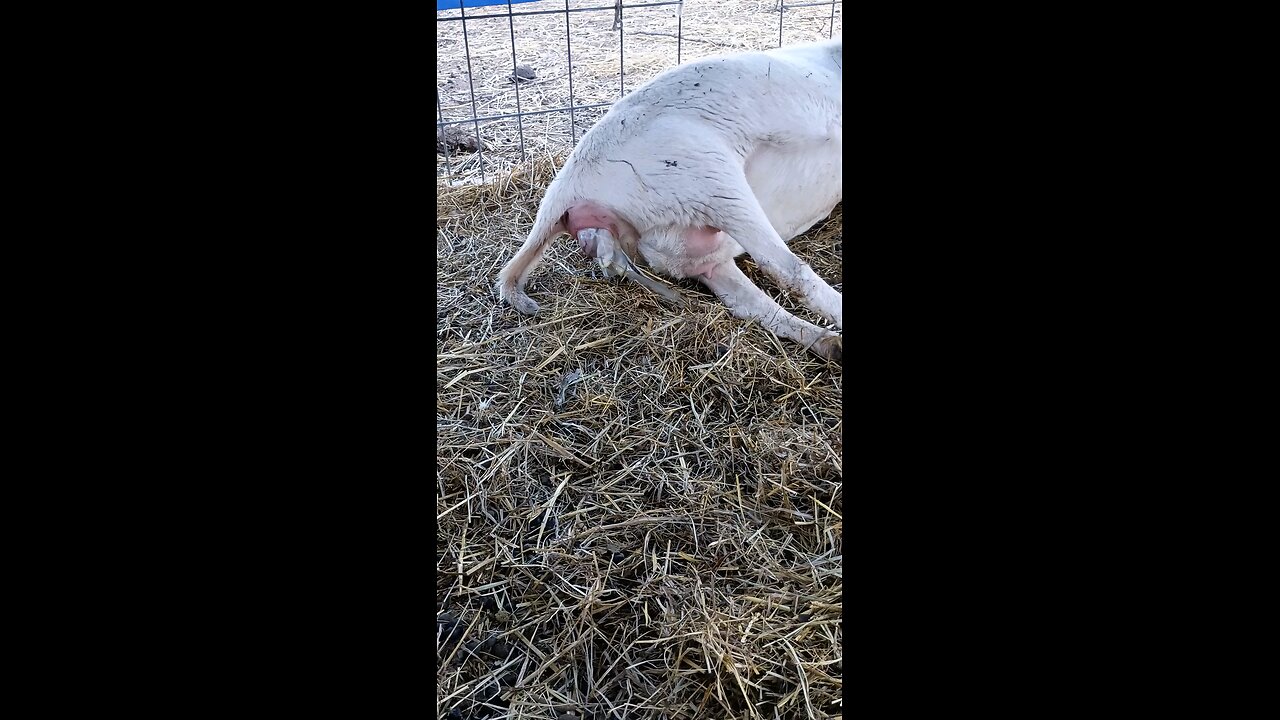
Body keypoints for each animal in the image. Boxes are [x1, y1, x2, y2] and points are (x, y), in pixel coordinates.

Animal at [496, 38, 842, 360]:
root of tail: (567, 190)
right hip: (707, 177)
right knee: (786, 270)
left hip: (698, 250)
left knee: (752, 304)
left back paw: (830, 344)